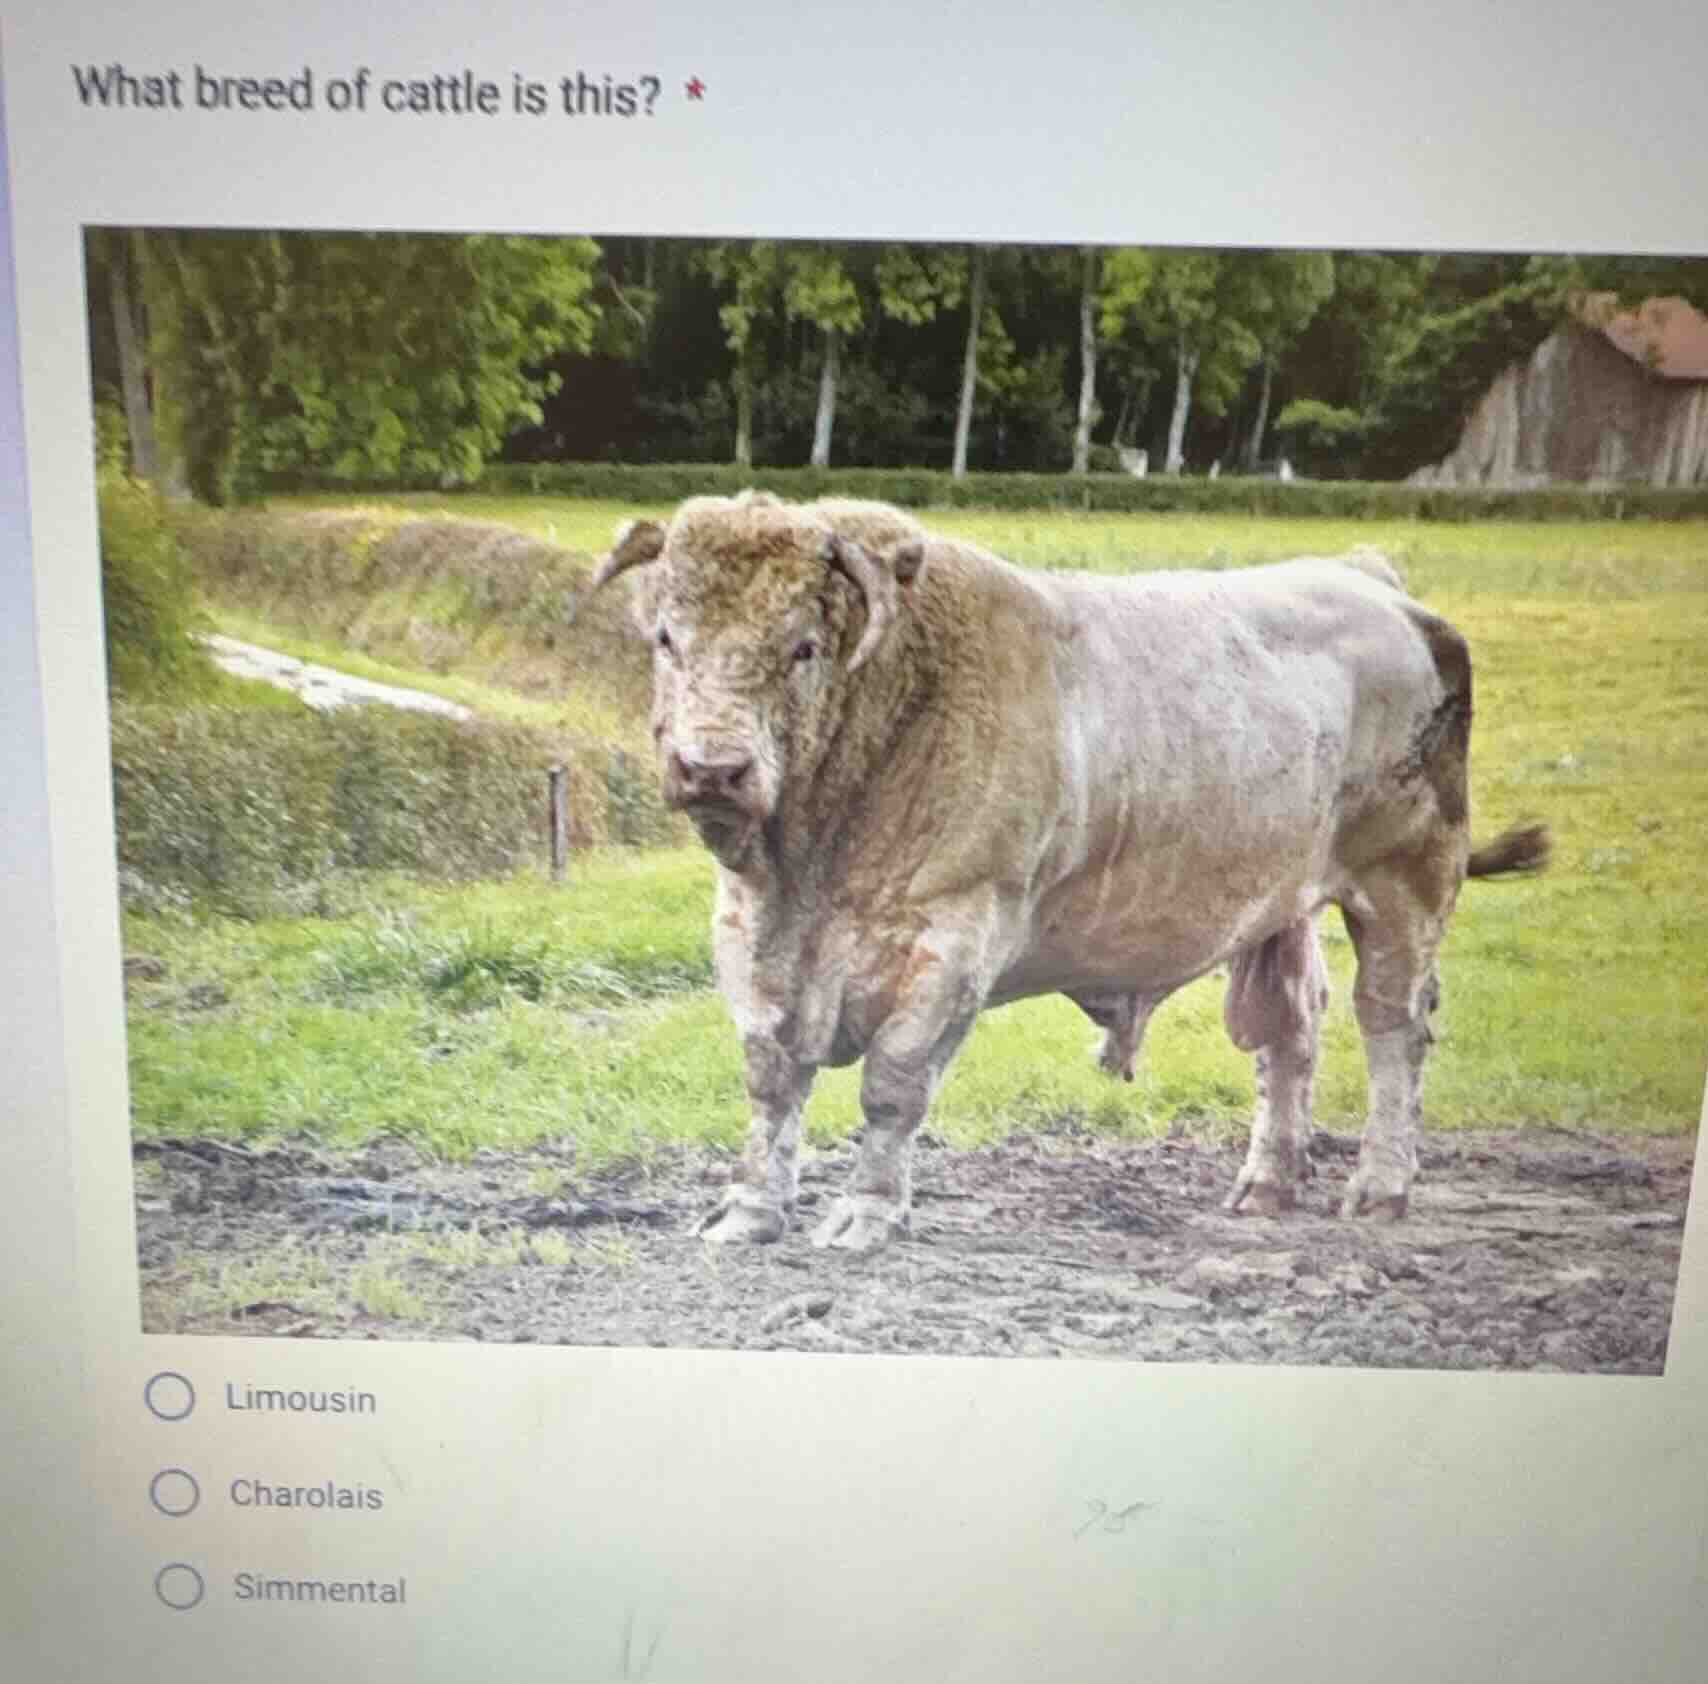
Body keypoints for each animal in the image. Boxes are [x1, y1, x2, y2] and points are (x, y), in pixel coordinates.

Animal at [589, 493, 1548, 1253]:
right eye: (666, 637)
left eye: (804, 647)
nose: (712, 768)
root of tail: (1372, 581)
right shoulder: (754, 938)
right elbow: (771, 1077)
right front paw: (750, 1209)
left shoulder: (956, 938)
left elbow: (893, 1084)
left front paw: (867, 1213)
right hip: (1282, 903)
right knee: (1290, 1028)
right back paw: (1267, 1183)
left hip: (1405, 884)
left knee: (1393, 1027)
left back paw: (1380, 1187)